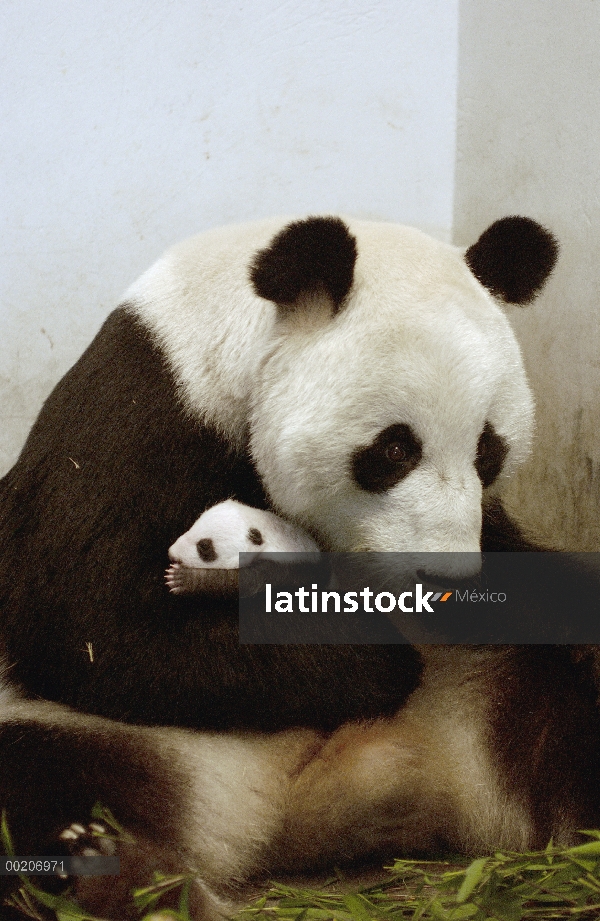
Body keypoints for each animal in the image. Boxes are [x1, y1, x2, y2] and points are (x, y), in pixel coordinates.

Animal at [2, 210, 596, 920]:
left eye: (488, 450)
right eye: (394, 450)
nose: (444, 583)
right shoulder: (138, 421)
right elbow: (90, 625)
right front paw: (371, 659)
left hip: (488, 693)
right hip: (85, 731)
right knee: (35, 782)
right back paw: (115, 874)